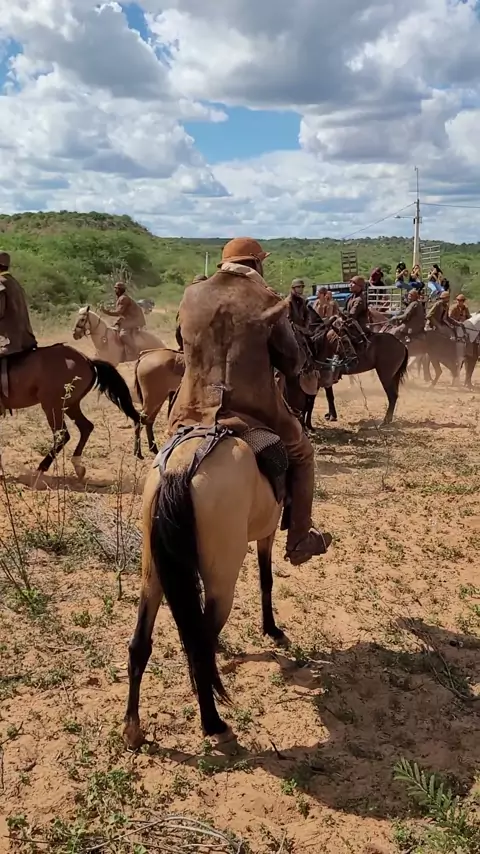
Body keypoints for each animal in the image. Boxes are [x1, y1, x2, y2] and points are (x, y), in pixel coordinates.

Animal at [0, 345, 139, 479]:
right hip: (71, 406)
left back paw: (41, 468)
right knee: (86, 427)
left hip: (52, 407)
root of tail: (88, 361)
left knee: (62, 435)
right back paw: (77, 465)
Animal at [123, 428, 288, 750]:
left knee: (142, 644)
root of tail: (180, 468)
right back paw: (213, 723)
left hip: (153, 576)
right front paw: (272, 629)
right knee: (199, 647)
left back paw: (132, 728)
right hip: (222, 585)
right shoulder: (268, 532)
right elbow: (266, 580)